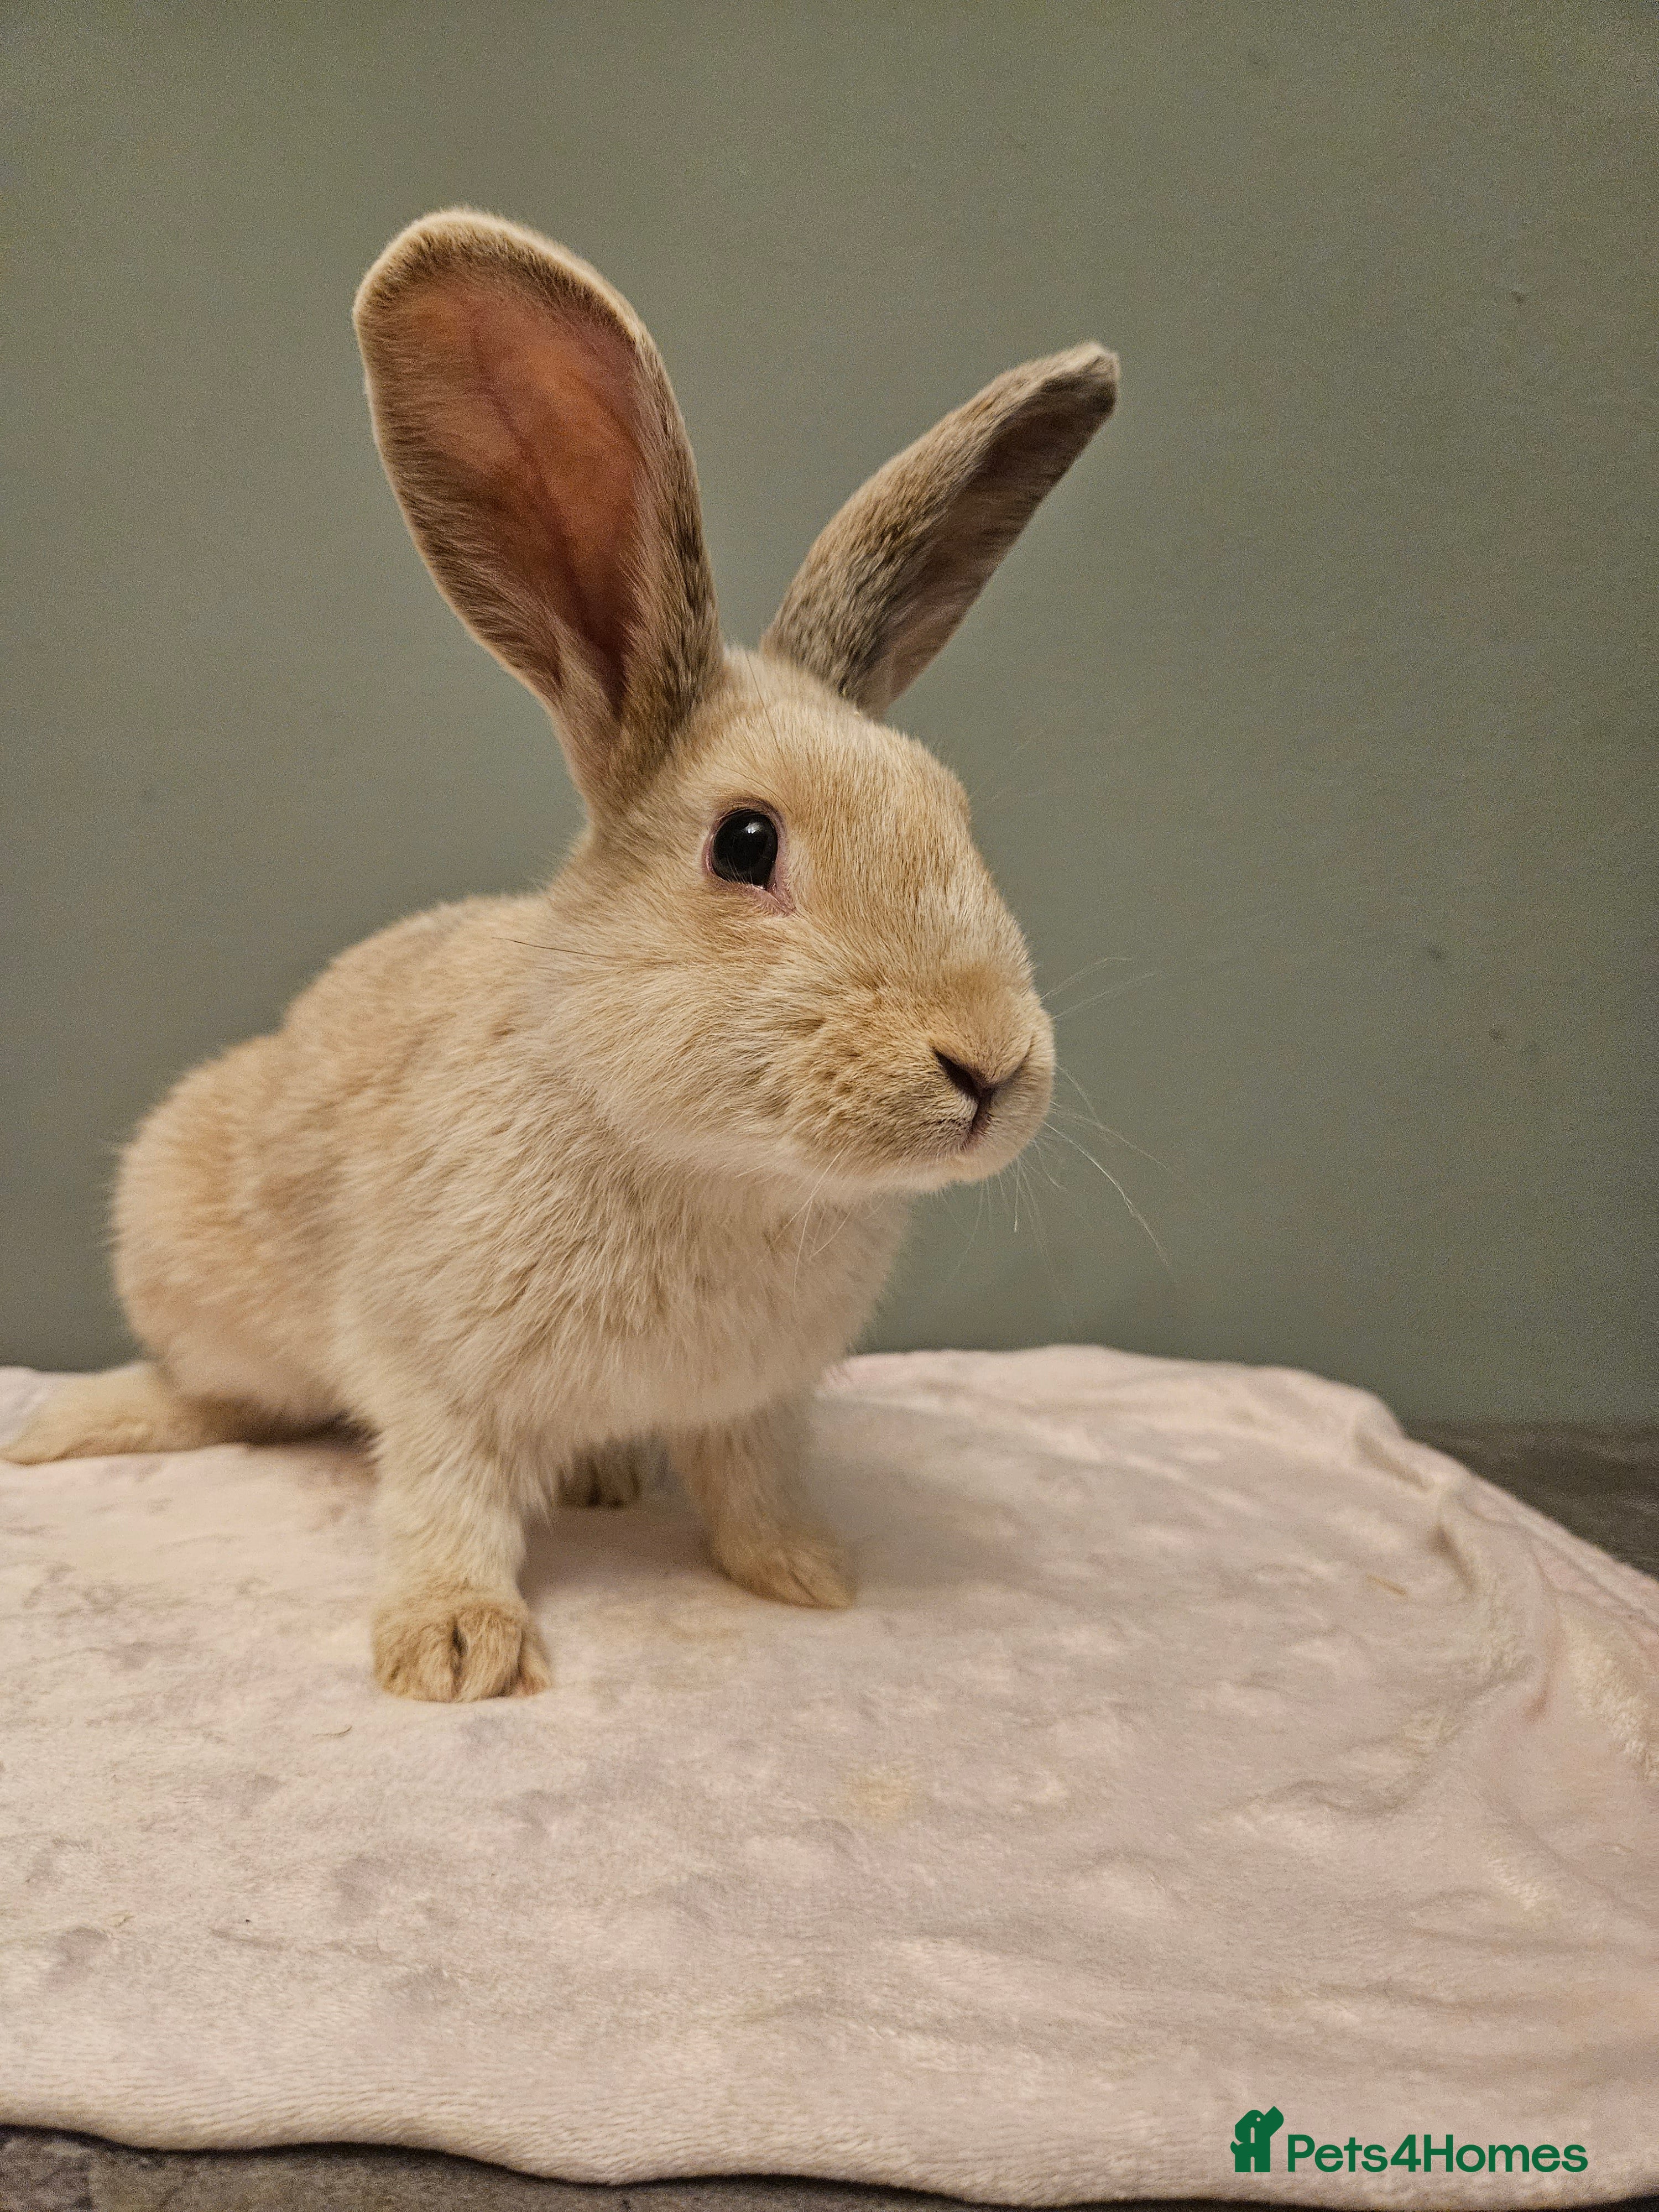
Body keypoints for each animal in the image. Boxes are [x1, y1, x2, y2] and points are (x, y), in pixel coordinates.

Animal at [4, 210, 1117, 1700]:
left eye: (954, 811)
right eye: (746, 844)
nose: (989, 1065)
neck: (708, 1164)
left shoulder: (758, 1404)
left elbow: (754, 1487)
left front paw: (806, 1573)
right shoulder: (431, 1372)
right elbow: (445, 1500)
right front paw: (454, 1649)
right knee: (218, 1390)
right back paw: (71, 1425)